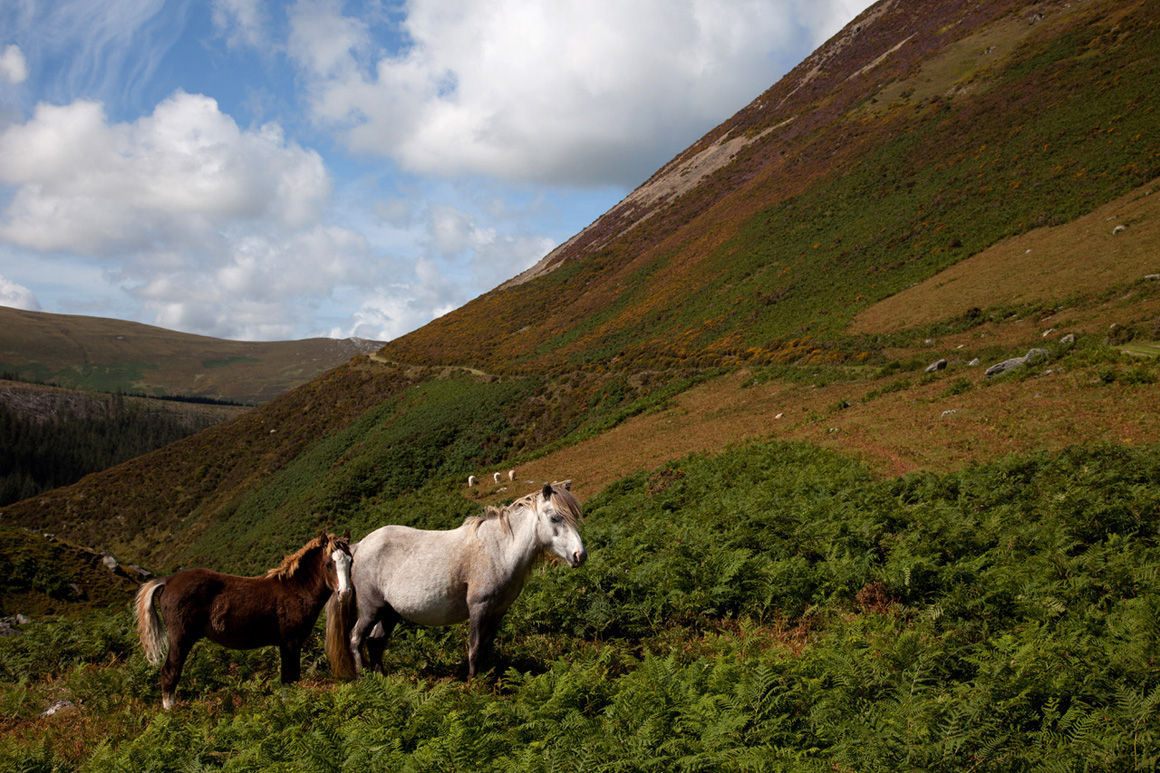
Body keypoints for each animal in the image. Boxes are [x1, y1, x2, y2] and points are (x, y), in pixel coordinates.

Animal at [135, 532, 353, 709]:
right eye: (328, 564)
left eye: (350, 561)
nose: (345, 593)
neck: (296, 589)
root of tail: (168, 580)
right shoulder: (290, 642)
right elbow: (289, 678)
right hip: (180, 638)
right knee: (169, 672)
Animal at [327, 481, 585, 680]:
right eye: (555, 518)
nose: (579, 555)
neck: (499, 550)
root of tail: (359, 546)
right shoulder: (479, 608)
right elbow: (475, 649)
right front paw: (473, 685)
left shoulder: (497, 611)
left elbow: (486, 648)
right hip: (371, 608)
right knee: (356, 639)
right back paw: (364, 679)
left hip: (389, 612)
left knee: (375, 642)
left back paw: (383, 680)